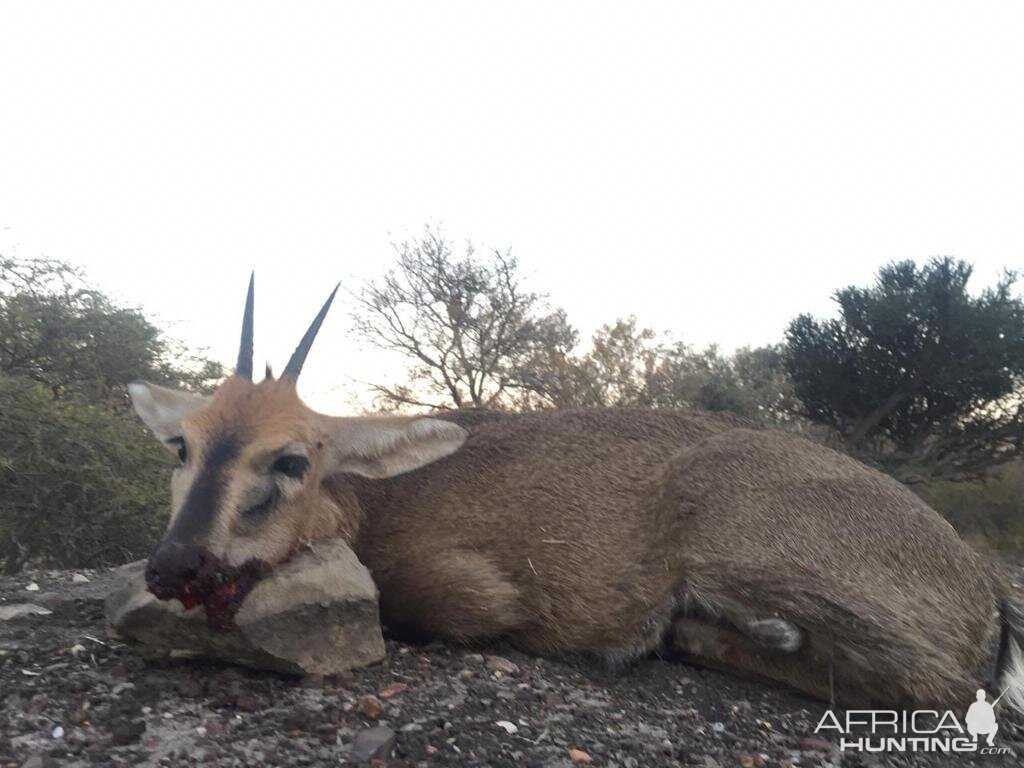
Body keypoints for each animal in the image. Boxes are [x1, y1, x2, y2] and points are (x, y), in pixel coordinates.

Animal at [132, 274, 1024, 708]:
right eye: (184, 444)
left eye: (291, 460)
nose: (177, 565)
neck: (381, 499)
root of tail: (978, 574)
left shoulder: (466, 587)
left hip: (748, 552)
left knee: (946, 688)